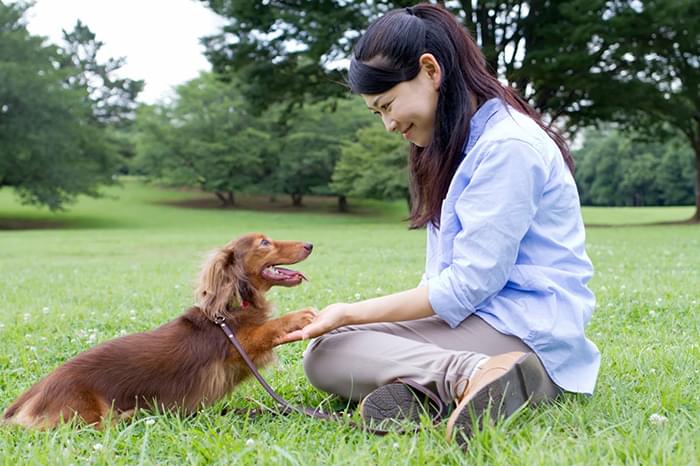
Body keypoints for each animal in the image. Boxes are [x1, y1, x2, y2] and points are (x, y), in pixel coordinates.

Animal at [4, 233, 316, 430]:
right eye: (264, 242)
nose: (310, 244)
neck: (230, 308)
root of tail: (32, 394)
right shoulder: (235, 346)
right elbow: (266, 329)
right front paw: (300, 316)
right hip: (84, 414)